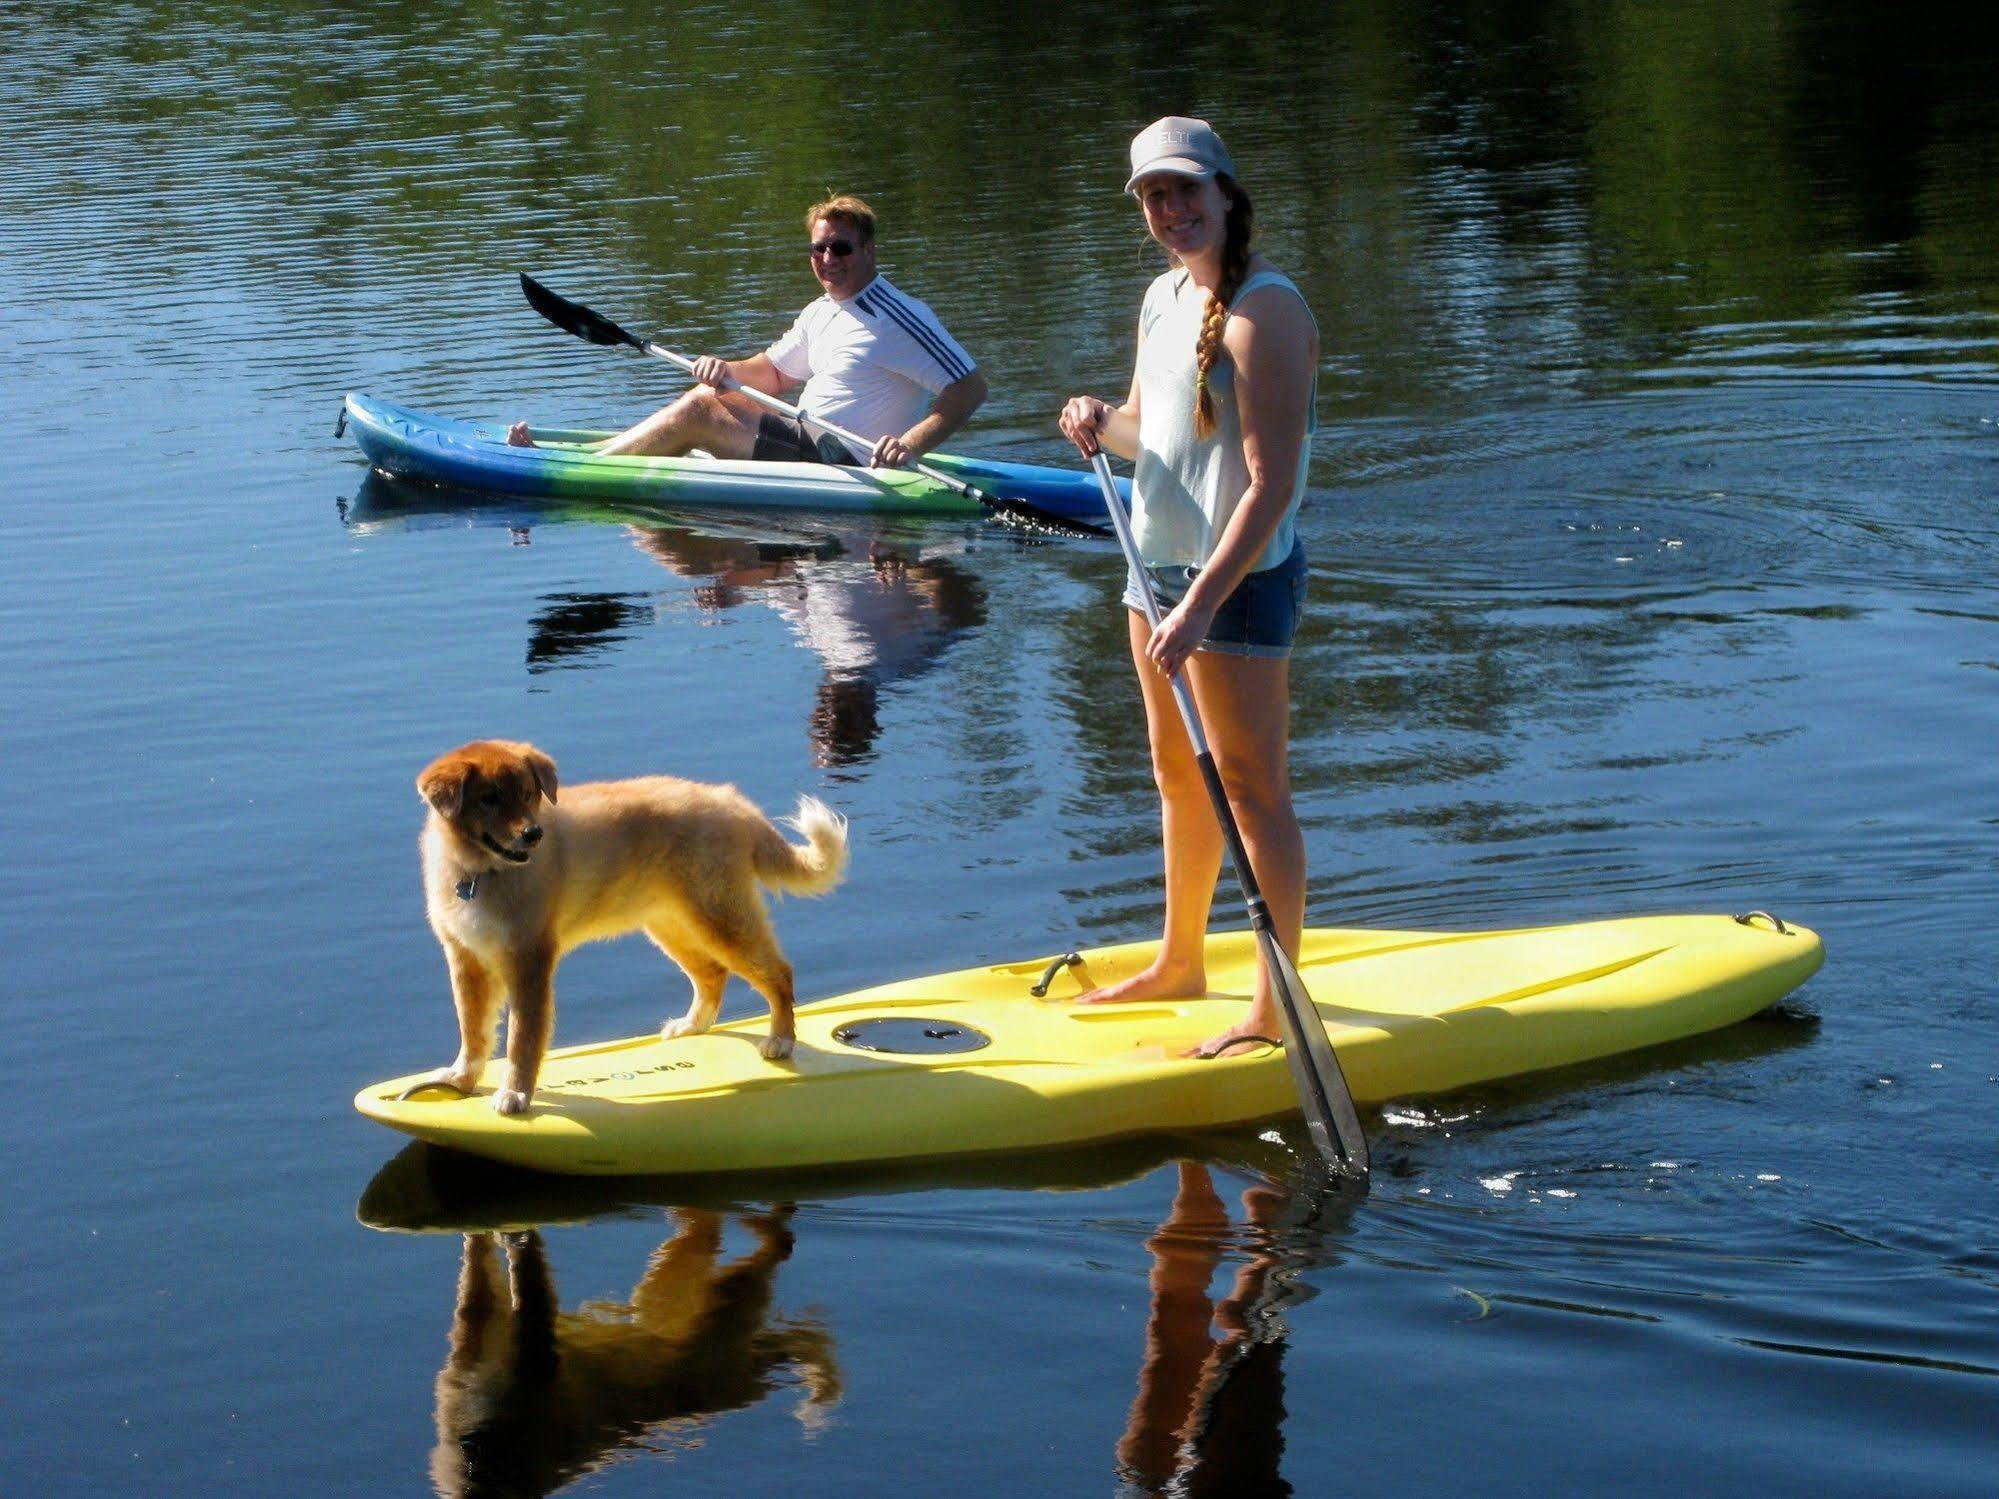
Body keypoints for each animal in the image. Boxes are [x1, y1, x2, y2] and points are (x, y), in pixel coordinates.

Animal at [417, 739, 839, 1119]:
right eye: (489, 798)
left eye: (527, 794)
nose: (533, 835)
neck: (478, 873)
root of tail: (733, 804)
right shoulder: (465, 959)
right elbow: (473, 1030)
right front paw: (460, 1080)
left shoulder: (528, 960)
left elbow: (522, 1039)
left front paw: (515, 1095)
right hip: (672, 924)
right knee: (712, 973)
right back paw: (691, 1026)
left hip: (722, 919)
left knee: (778, 973)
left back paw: (780, 1039)